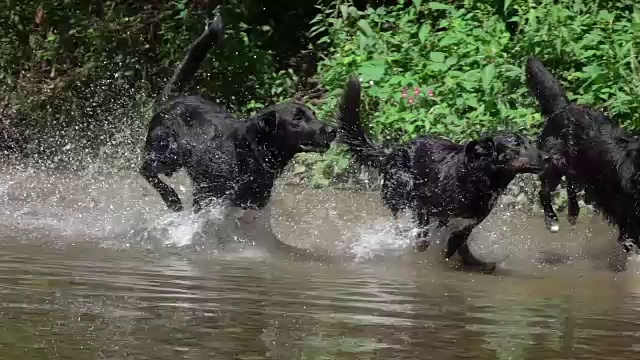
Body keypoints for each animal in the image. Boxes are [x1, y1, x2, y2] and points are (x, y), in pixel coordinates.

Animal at [138, 16, 338, 214]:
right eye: (297, 119)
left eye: (314, 114)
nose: (333, 130)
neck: (251, 151)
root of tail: (173, 100)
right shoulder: (206, 196)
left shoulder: (254, 203)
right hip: (166, 154)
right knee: (145, 169)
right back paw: (171, 198)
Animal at [338, 78, 548, 270]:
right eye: (517, 145)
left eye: (530, 143)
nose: (547, 157)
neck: (478, 177)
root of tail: (392, 152)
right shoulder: (423, 204)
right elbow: (424, 239)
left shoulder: (471, 220)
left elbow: (458, 241)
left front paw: (461, 256)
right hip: (402, 188)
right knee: (400, 222)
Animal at [524, 55, 640, 258]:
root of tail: (564, 108)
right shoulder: (628, 217)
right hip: (554, 164)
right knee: (544, 191)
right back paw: (552, 221)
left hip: (579, 170)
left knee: (571, 187)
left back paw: (572, 213)